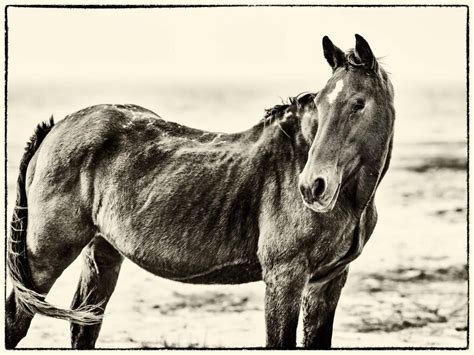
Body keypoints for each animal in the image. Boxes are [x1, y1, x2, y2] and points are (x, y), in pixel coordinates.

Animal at [5, 34, 394, 350]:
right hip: (45, 255)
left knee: (83, 327)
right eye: (320, 104)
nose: (313, 186)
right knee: (16, 319)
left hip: (103, 253)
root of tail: (57, 126)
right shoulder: (285, 277)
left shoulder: (327, 282)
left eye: (358, 103)